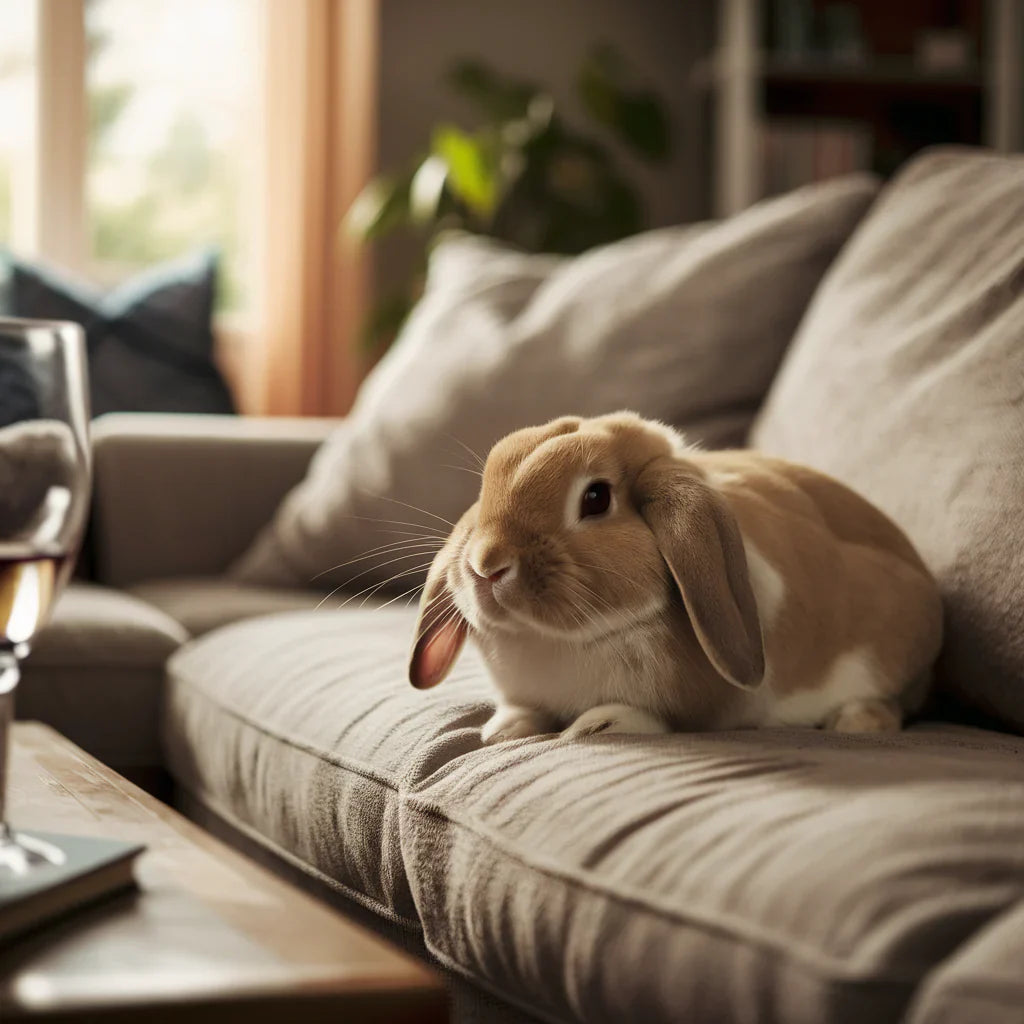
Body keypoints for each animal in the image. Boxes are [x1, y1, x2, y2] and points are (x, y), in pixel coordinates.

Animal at [407, 409, 942, 745]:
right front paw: (503, 729)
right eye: (487, 484)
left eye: (595, 499)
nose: (486, 563)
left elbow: (662, 720)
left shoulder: (708, 709)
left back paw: (857, 722)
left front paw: (598, 725)